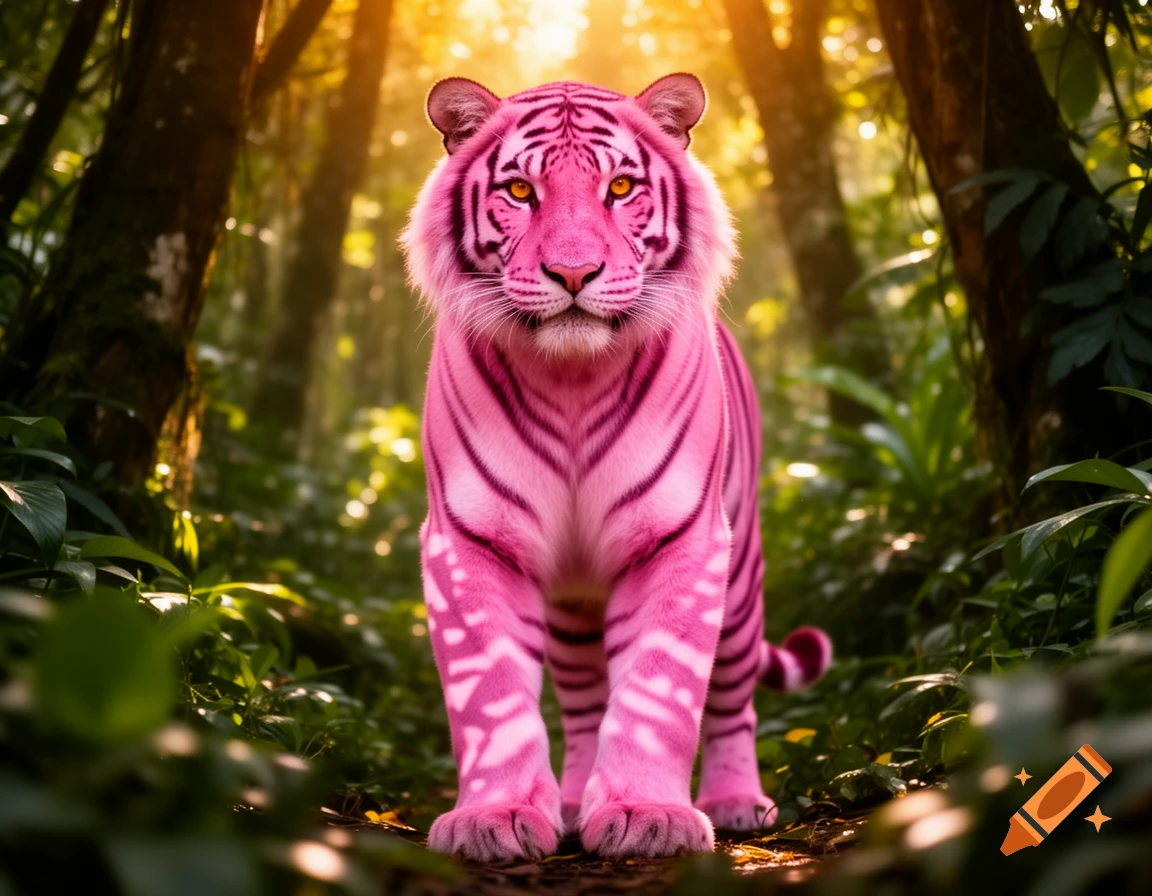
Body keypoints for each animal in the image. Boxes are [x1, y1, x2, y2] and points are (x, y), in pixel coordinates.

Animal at [400, 73, 832, 864]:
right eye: (519, 191)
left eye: (621, 186)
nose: (573, 273)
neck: (573, 380)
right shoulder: (468, 540)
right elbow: (491, 693)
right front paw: (494, 817)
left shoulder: (683, 537)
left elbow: (660, 689)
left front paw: (645, 816)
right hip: (573, 610)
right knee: (582, 705)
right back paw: (573, 801)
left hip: (742, 576)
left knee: (732, 698)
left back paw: (734, 803)